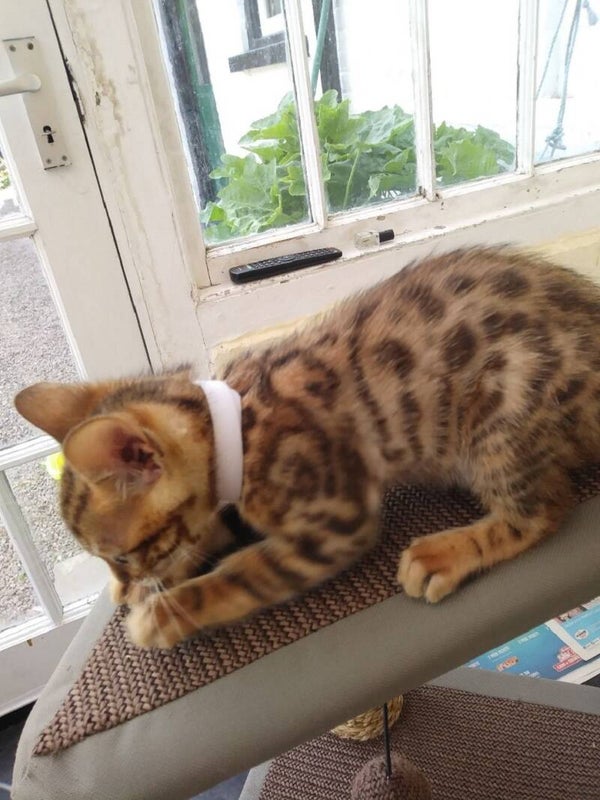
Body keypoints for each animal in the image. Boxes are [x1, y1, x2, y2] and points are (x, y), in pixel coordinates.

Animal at [14, 247, 600, 649]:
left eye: (118, 556)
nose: (119, 583)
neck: (238, 426)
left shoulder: (336, 517)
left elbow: (247, 572)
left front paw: (165, 610)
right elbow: (200, 538)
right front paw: (152, 586)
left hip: (504, 407)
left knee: (542, 509)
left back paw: (444, 552)